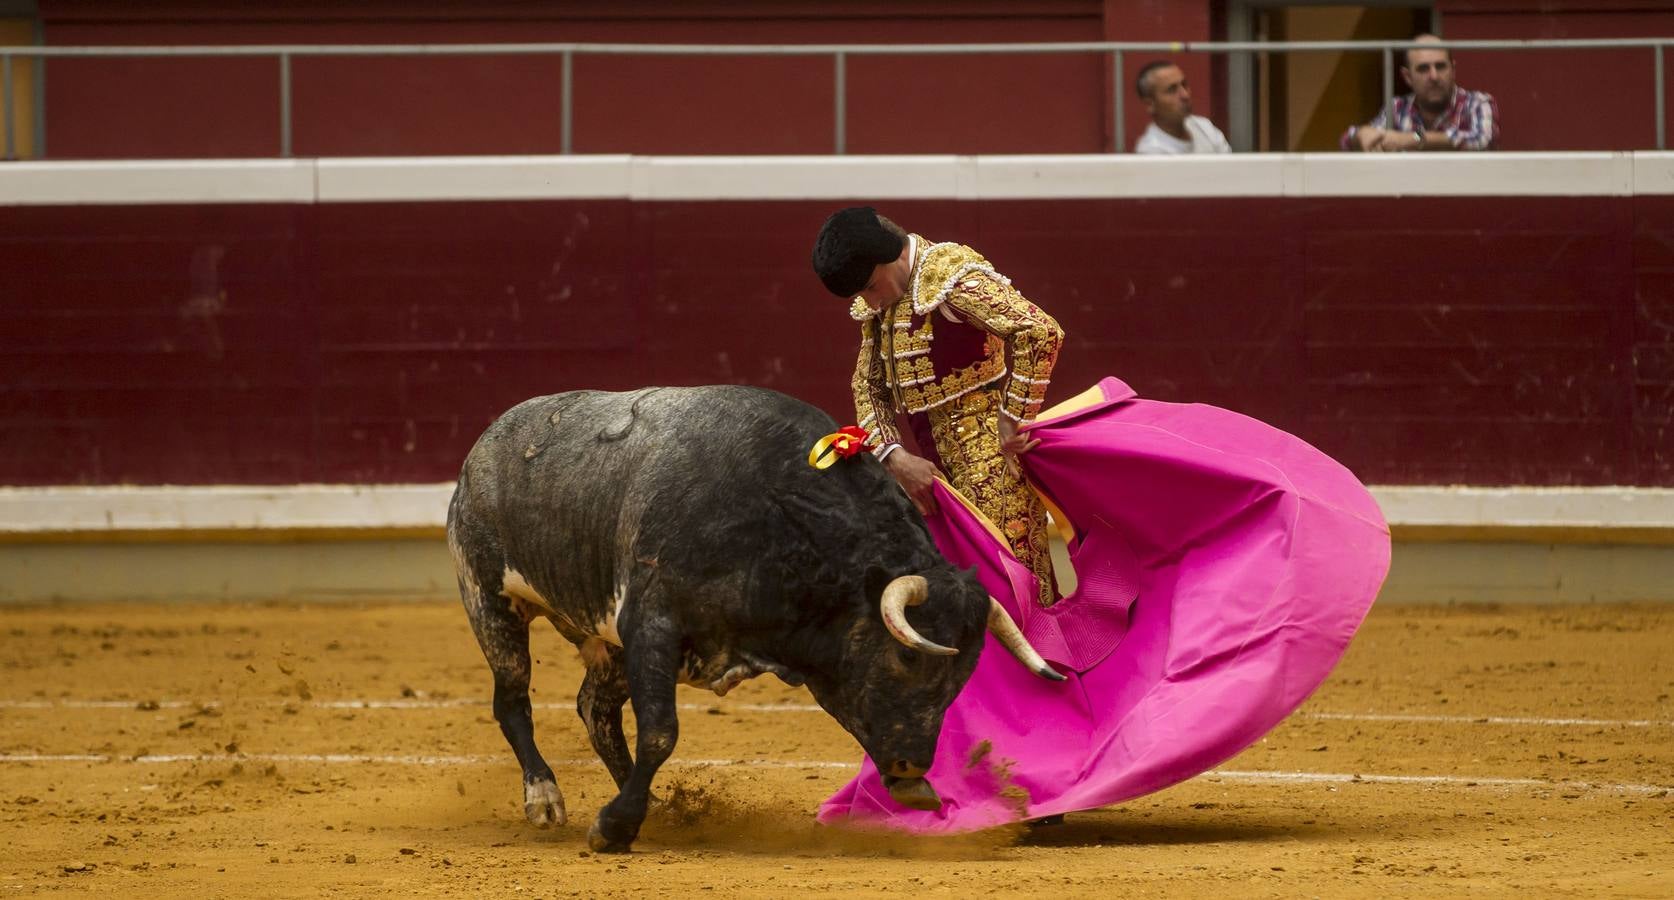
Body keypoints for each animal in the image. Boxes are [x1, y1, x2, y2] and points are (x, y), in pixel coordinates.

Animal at [448, 383, 1057, 846]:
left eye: (964, 674)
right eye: (909, 659)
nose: (912, 770)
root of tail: (486, 444)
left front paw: (624, 817)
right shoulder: (650, 624)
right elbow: (660, 733)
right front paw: (614, 829)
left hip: (606, 645)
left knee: (593, 709)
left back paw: (649, 807)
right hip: (489, 600)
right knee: (513, 701)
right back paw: (546, 798)